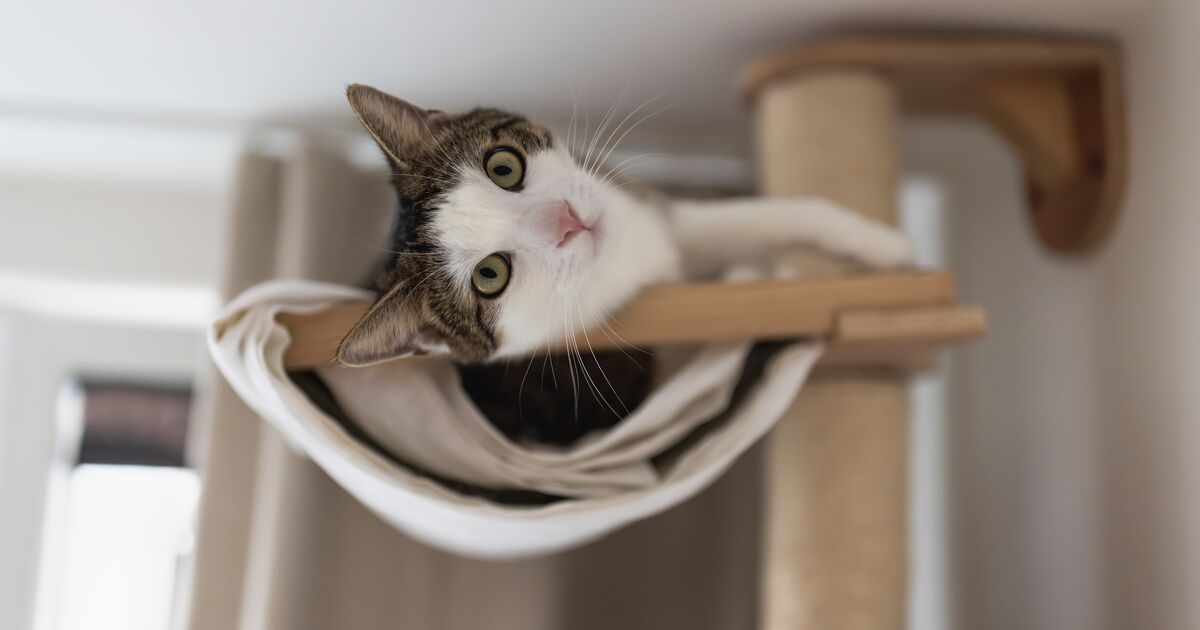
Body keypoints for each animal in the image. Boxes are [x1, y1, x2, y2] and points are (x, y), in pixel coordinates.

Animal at [328, 85, 907, 444]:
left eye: (503, 167)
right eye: (490, 275)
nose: (566, 221)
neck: (618, 260)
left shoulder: (643, 209)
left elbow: (761, 217)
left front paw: (880, 244)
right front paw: (758, 276)